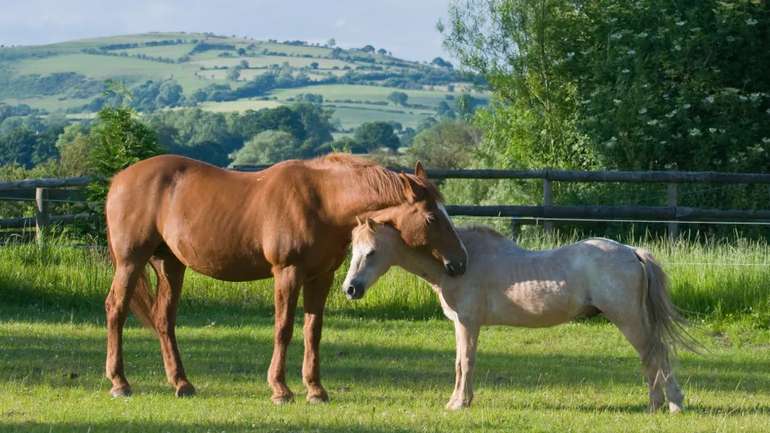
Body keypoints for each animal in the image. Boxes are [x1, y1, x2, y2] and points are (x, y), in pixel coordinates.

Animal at [104, 154, 464, 404]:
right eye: (431, 217)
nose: (460, 262)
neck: (322, 201)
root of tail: (119, 179)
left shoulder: (321, 277)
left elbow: (312, 331)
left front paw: (316, 390)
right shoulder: (287, 272)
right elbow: (284, 328)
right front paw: (280, 389)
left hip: (170, 264)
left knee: (164, 320)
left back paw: (182, 383)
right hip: (131, 261)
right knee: (116, 309)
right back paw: (120, 383)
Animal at [342, 219, 688, 412]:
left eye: (371, 252)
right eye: (352, 250)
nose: (350, 288)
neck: (458, 263)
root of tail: (631, 251)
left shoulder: (468, 323)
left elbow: (466, 362)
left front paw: (459, 404)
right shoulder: (460, 325)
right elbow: (458, 363)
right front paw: (457, 400)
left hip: (628, 318)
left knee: (656, 352)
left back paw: (672, 404)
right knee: (650, 356)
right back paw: (655, 404)